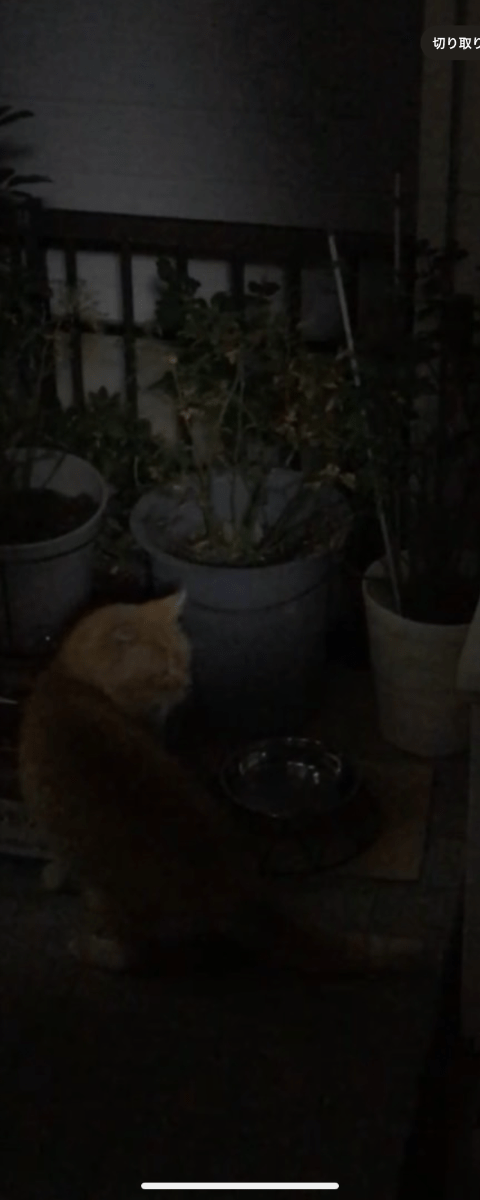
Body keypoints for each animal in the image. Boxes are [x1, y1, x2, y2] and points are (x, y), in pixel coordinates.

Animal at [18, 593, 418, 976]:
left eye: (185, 661)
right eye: (164, 673)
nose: (187, 685)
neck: (70, 680)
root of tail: (237, 888)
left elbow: (60, 859)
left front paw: (52, 877)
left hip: (113, 901)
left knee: (136, 955)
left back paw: (90, 949)